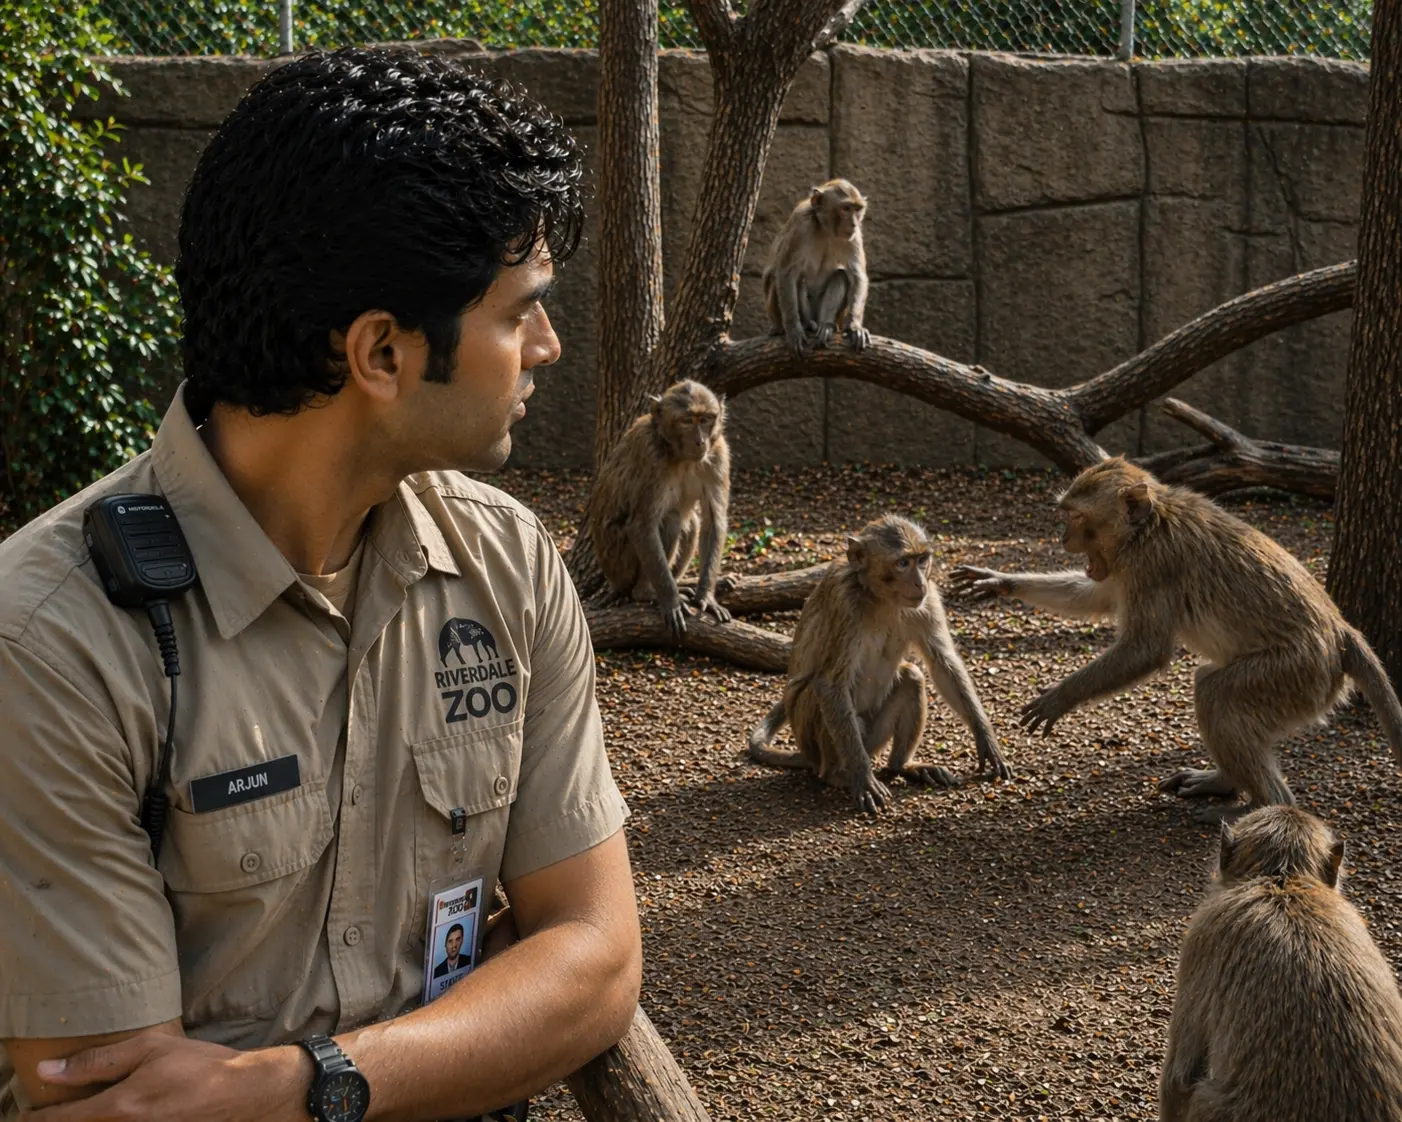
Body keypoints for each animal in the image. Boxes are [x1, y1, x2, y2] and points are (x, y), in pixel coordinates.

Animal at [588, 380, 732, 641]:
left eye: (705, 419)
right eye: (687, 420)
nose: (700, 442)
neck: (679, 455)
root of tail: (613, 580)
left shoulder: (718, 454)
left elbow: (713, 523)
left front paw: (706, 596)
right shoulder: (650, 455)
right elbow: (642, 525)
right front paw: (670, 599)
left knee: (691, 523)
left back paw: (683, 582)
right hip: (619, 561)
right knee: (671, 520)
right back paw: (646, 592)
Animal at [747, 514, 1011, 815]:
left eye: (922, 560)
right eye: (903, 563)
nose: (919, 583)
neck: (880, 597)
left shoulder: (929, 600)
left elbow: (943, 664)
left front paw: (986, 739)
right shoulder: (844, 604)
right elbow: (830, 683)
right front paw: (863, 777)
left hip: (873, 739)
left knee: (912, 676)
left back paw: (903, 765)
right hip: (825, 744)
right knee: (816, 694)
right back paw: (839, 775)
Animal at [761, 178, 871, 359]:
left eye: (857, 209)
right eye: (846, 208)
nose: (854, 223)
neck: (825, 228)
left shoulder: (854, 236)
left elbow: (857, 276)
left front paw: (854, 325)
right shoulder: (801, 225)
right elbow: (786, 273)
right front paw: (794, 330)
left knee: (841, 276)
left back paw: (825, 325)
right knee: (797, 279)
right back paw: (804, 324)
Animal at [951, 457, 1402, 815]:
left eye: (1076, 517)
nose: (1062, 538)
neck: (1148, 527)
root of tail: (1341, 632)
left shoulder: (1153, 564)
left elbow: (1145, 650)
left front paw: (1060, 697)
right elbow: (1097, 596)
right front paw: (1000, 581)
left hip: (1299, 675)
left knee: (1216, 692)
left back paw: (1262, 803)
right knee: (1212, 686)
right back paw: (1225, 782)